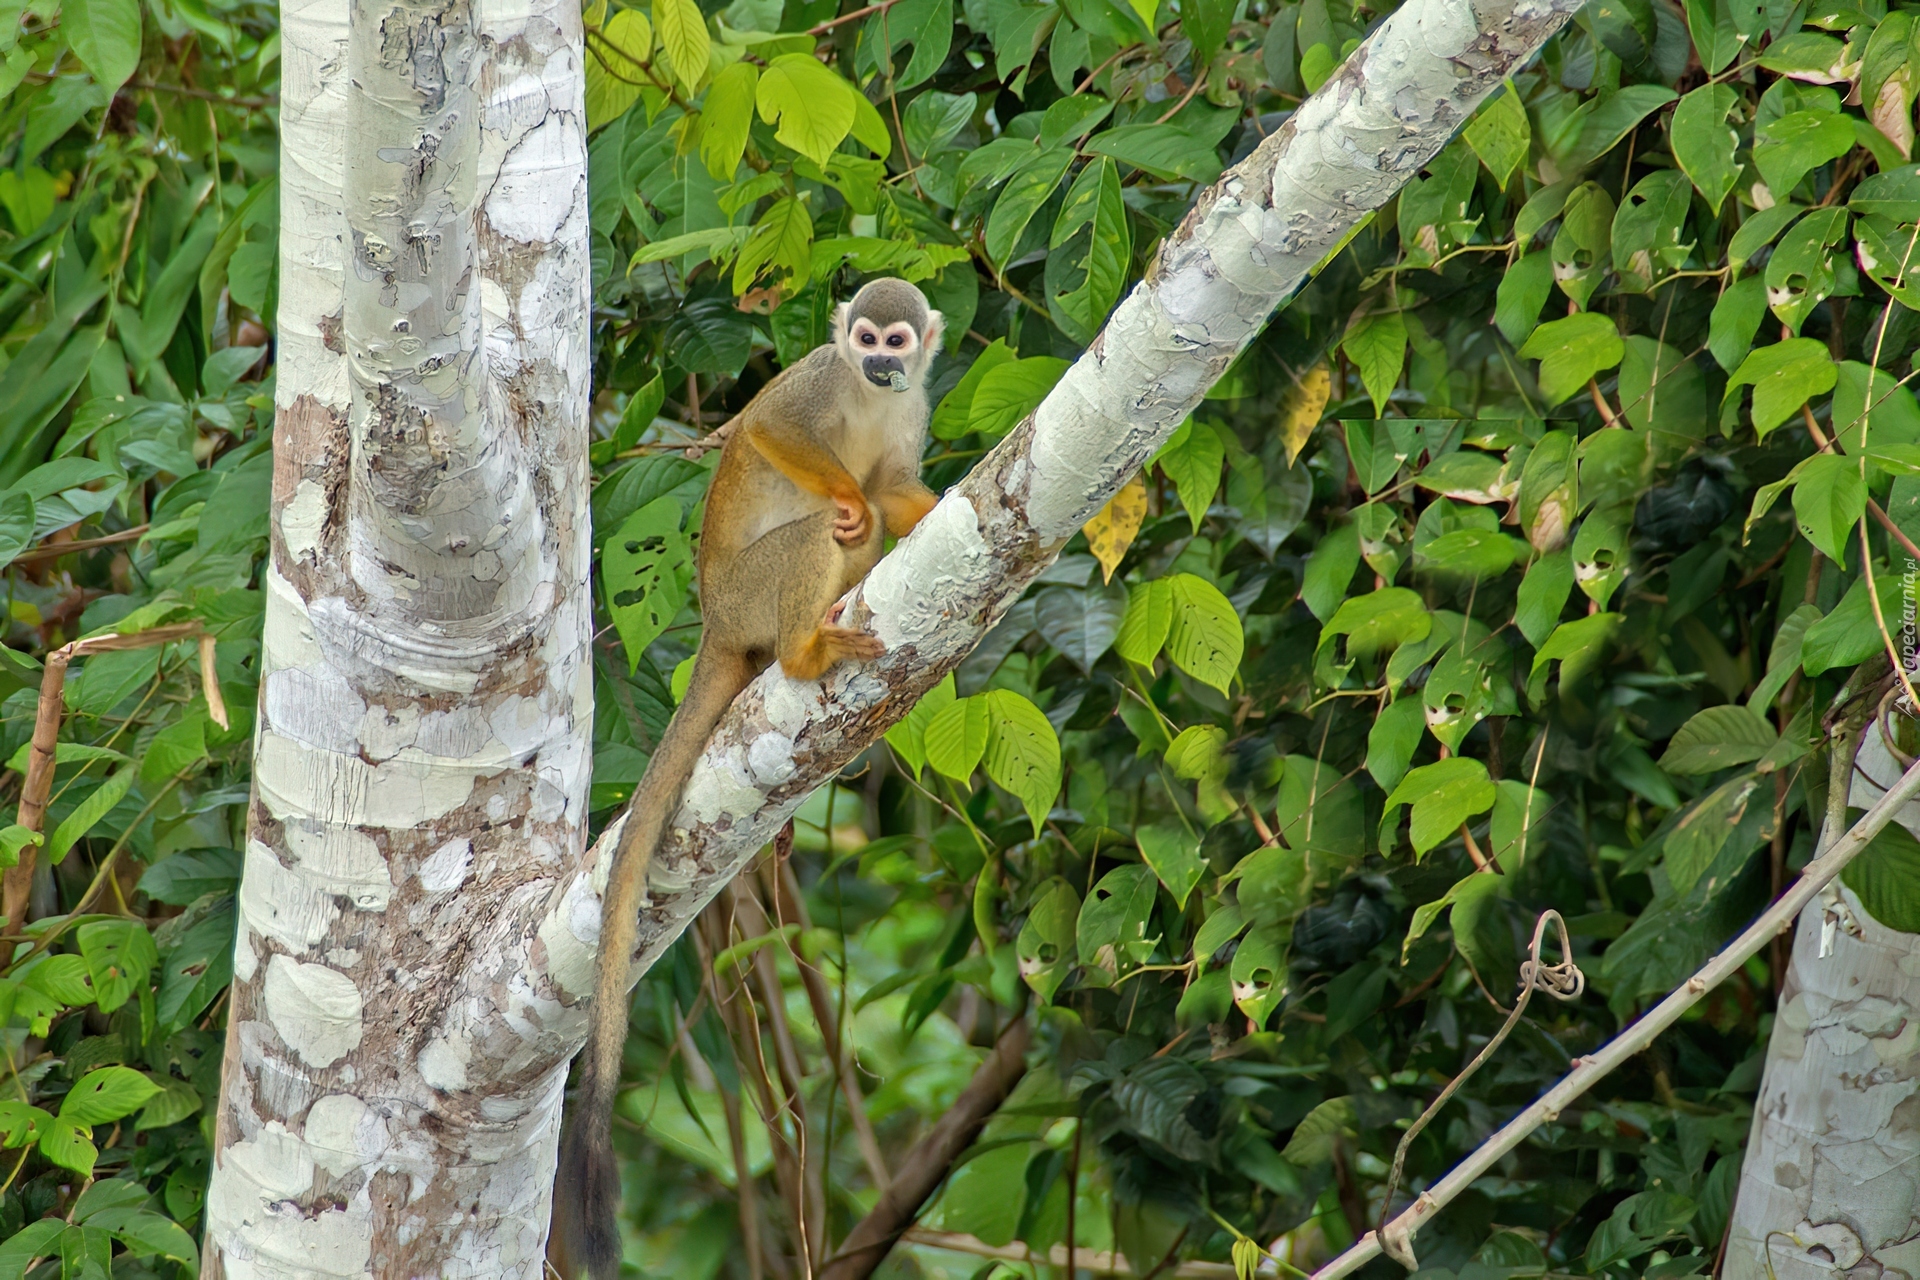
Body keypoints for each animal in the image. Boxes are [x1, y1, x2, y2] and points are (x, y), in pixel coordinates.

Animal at [552, 276, 948, 1274]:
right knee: (817, 535)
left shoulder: (914, 404)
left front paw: (928, 508)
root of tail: (719, 623)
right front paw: (840, 488)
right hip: (749, 592)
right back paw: (805, 648)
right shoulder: (816, 380)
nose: (879, 363)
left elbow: (895, 488)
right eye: (860, 340)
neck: (871, 396)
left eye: (896, 343)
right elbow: (770, 429)